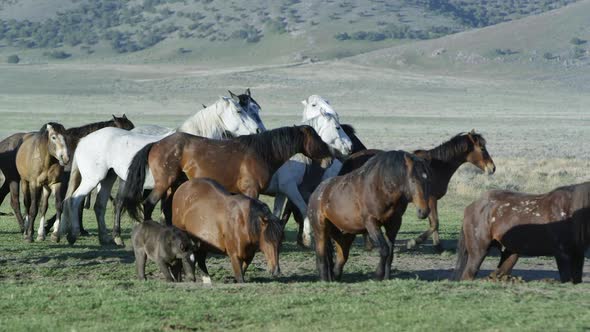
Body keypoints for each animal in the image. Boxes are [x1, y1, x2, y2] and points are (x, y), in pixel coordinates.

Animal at [60, 94, 264, 245]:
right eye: (239, 110)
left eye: (255, 108)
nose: (258, 130)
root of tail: (84, 140)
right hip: (93, 179)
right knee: (75, 200)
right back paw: (73, 235)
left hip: (107, 178)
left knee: (101, 205)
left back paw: (110, 239)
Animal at [122, 126, 336, 224]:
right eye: (317, 138)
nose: (330, 158)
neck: (260, 152)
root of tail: (156, 144)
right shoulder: (252, 190)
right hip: (163, 183)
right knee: (149, 204)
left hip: (174, 184)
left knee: (165, 208)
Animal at [308, 149, 432, 282]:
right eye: (413, 180)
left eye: (428, 180)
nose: (424, 211)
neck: (382, 187)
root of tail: (317, 192)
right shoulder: (371, 222)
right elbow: (384, 249)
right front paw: (378, 275)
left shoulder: (394, 224)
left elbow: (390, 252)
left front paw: (386, 277)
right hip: (321, 229)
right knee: (321, 254)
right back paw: (325, 279)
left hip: (342, 231)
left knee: (341, 253)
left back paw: (335, 275)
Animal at [454, 182, 590, 282]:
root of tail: (472, 206)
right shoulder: (562, 254)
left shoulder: (578, 254)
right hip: (479, 251)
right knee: (468, 275)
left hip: (510, 253)